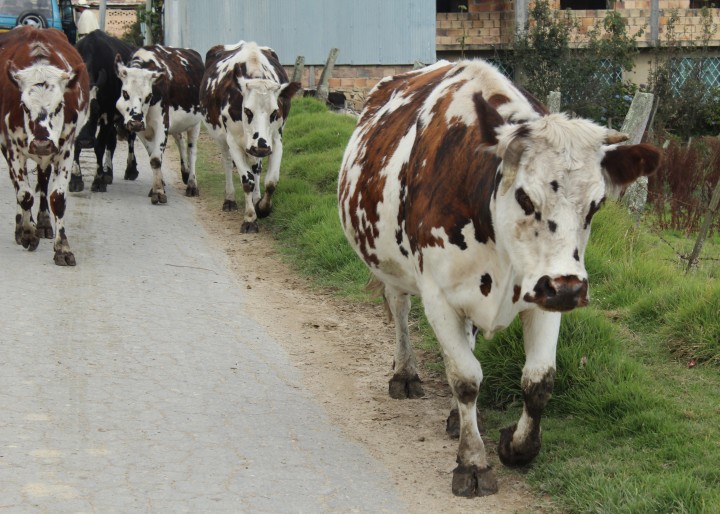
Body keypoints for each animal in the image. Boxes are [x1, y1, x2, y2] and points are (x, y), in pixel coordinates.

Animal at [0, 25, 89, 264]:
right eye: (23, 105)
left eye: (59, 105)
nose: (41, 144)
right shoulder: (13, 148)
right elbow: (24, 194)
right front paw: (28, 233)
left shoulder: (65, 149)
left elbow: (57, 197)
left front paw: (63, 248)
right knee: (20, 187)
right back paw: (22, 226)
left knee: (42, 179)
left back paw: (43, 222)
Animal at [71, 30, 139, 194]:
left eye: (96, 108)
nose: (85, 141)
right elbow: (76, 144)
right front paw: (75, 179)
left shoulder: (107, 114)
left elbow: (100, 147)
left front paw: (98, 180)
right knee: (113, 141)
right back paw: (108, 172)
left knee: (130, 137)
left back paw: (130, 170)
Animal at [115, 45, 204, 202]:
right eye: (125, 93)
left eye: (148, 96)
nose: (135, 123)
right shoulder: (142, 130)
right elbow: (153, 156)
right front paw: (159, 185)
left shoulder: (161, 124)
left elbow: (156, 159)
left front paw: (158, 191)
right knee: (180, 141)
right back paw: (185, 172)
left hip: (195, 124)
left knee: (192, 150)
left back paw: (192, 184)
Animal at [200, 40, 300, 232]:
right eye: (247, 110)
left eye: (275, 112)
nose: (260, 146)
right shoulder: (233, 141)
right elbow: (247, 180)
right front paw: (249, 219)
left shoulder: (275, 141)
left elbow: (271, 181)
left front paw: (262, 208)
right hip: (221, 138)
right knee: (227, 162)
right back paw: (230, 199)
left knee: (256, 167)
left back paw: (255, 198)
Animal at [338, 60, 660, 496]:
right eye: (525, 196)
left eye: (595, 205)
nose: (571, 289)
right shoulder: (439, 296)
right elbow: (465, 378)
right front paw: (472, 464)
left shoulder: (544, 291)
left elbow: (539, 380)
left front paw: (517, 448)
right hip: (389, 265)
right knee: (401, 309)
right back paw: (405, 374)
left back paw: (458, 417)